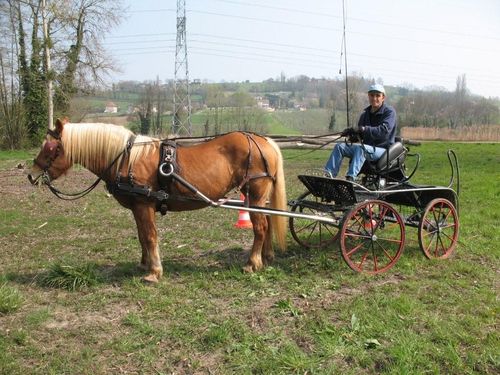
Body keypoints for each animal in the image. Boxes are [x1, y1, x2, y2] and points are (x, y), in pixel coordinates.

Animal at [27, 119, 288, 284]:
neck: (125, 158)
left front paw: (154, 272)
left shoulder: (144, 206)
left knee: (260, 227)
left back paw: (252, 263)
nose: (31, 174)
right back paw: (266, 257)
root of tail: (264, 141)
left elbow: (151, 236)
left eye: (50, 147)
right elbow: (142, 236)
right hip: (259, 199)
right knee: (267, 223)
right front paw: (144, 264)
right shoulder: (137, 208)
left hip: (253, 195)